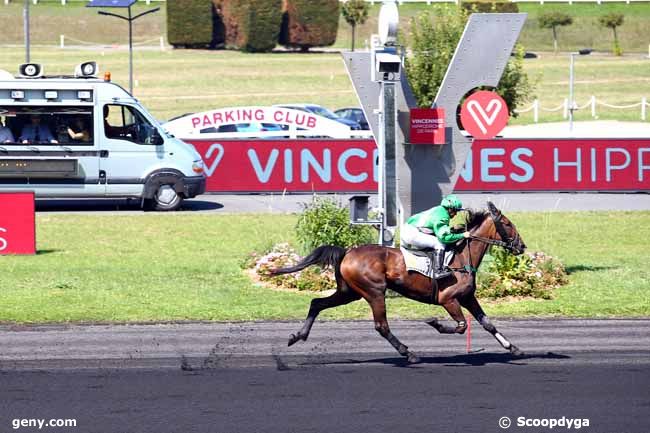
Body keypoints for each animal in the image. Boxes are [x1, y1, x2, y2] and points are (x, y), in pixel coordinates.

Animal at [268, 201, 528, 362]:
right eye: (507, 224)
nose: (521, 246)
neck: (462, 256)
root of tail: (347, 252)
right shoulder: (448, 299)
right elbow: (461, 326)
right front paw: (434, 322)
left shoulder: (467, 297)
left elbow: (487, 324)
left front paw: (514, 348)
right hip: (374, 291)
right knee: (381, 326)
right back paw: (408, 353)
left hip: (349, 292)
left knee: (317, 303)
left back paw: (297, 336)